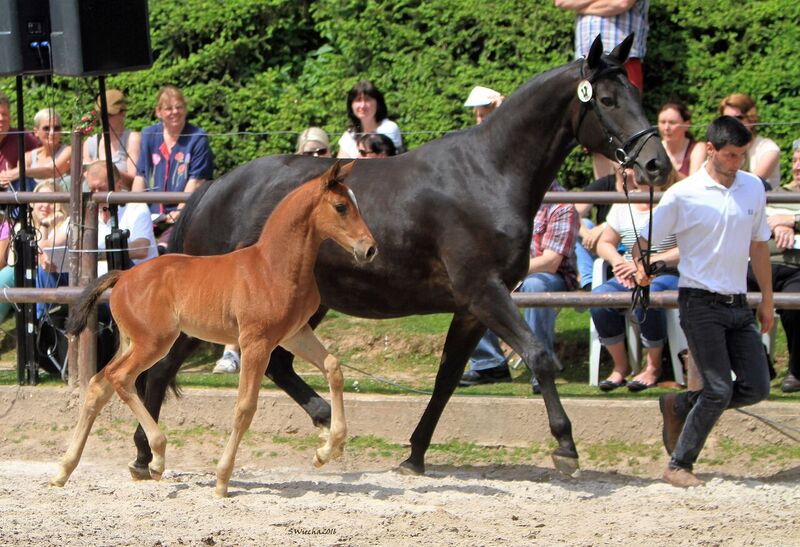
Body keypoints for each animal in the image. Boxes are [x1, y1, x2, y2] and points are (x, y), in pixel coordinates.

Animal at [50, 162, 376, 496]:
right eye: (340, 207)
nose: (369, 249)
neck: (274, 267)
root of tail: (124, 276)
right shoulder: (256, 342)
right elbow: (245, 408)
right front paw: (222, 479)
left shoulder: (294, 334)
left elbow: (333, 368)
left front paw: (327, 451)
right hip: (154, 343)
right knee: (120, 378)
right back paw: (156, 458)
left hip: (133, 342)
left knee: (98, 385)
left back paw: (64, 470)